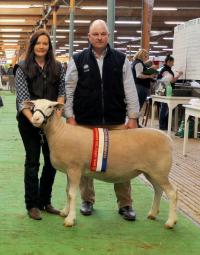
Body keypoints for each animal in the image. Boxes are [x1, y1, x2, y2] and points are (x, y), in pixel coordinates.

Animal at [25, 99, 178, 229]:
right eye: (34, 106)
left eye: (50, 107)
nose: (35, 119)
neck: (60, 133)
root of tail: (169, 139)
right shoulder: (70, 171)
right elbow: (68, 192)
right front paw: (65, 212)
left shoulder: (74, 169)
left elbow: (72, 194)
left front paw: (70, 220)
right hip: (151, 172)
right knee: (158, 190)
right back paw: (153, 214)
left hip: (160, 171)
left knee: (172, 193)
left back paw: (170, 222)